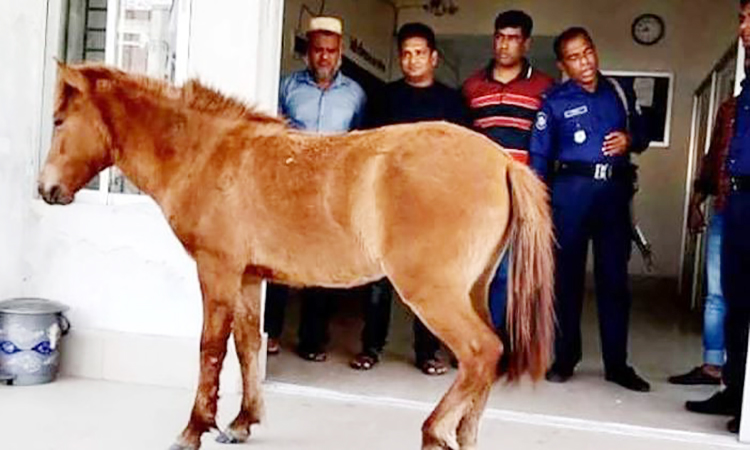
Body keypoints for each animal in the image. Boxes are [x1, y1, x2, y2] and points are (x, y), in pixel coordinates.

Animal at [38, 63, 556, 450]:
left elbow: (210, 347)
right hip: (472, 290)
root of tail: (502, 160)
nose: (46, 190)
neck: (207, 153)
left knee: (481, 352)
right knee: (488, 356)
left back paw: (434, 432)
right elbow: (247, 345)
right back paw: (463, 436)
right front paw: (242, 422)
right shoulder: (249, 277)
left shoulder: (217, 270)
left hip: (433, 293)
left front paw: (193, 429)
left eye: (59, 121)